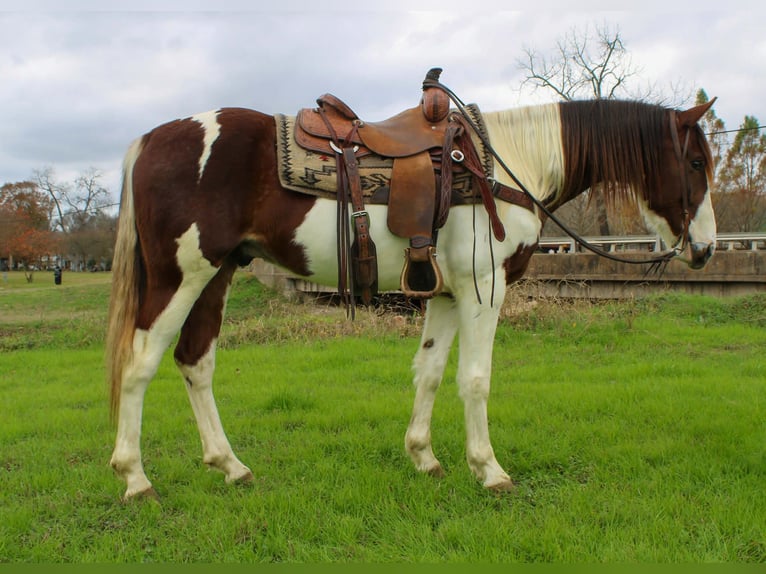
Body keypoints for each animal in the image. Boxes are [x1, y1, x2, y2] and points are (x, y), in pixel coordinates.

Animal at [105, 82, 717, 500]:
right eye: (694, 161)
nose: (706, 249)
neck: (507, 166)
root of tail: (152, 138)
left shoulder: (445, 294)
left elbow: (430, 372)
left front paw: (423, 457)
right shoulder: (484, 289)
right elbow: (475, 380)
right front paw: (489, 470)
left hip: (218, 275)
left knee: (195, 361)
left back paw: (229, 465)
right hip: (180, 277)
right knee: (139, 364)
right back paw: (135, 477)